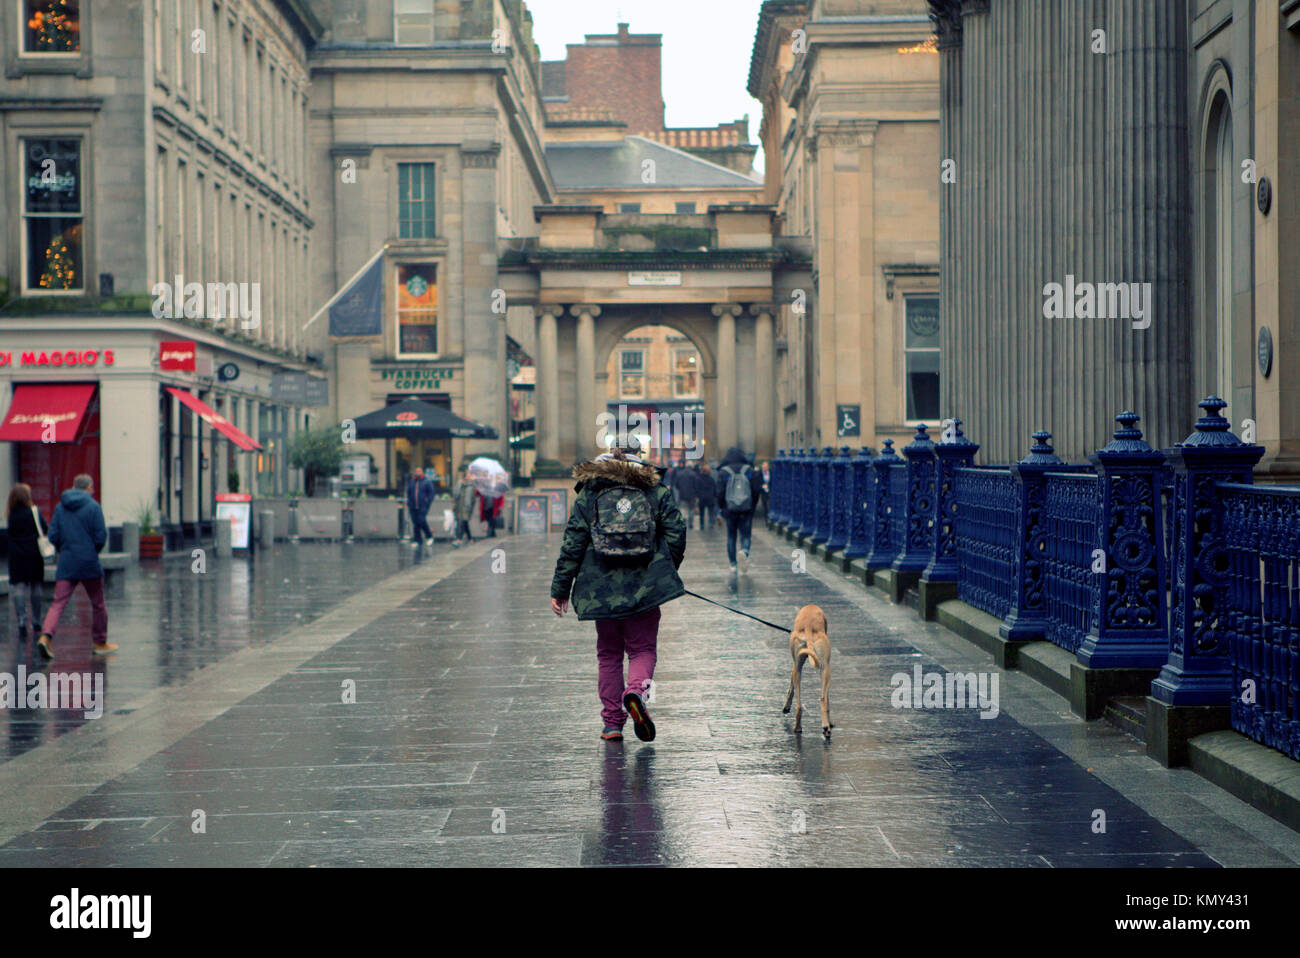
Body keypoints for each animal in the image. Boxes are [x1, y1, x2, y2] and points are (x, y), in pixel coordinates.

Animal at [780, 605, 832, 738]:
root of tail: (808, 625)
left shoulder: (795, 665)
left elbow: (791, 686)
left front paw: (786, 706)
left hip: (800, 667)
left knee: (799, 705)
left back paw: (798, 727)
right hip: (826, 669)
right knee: (823, 698)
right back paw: (826, 727)